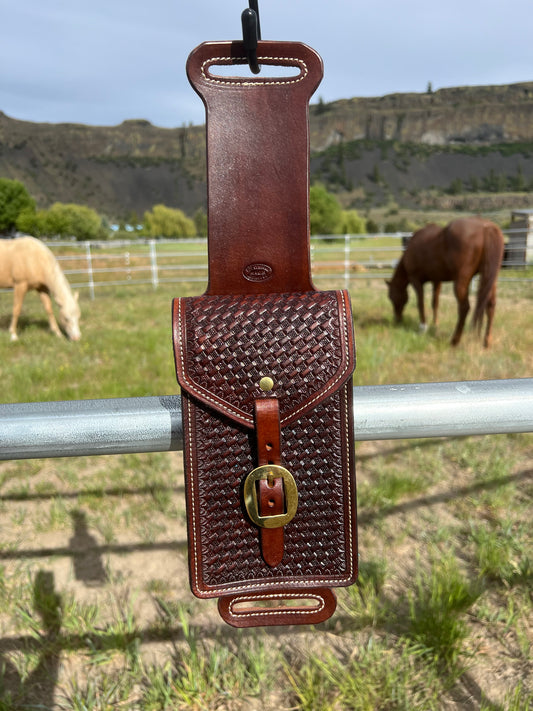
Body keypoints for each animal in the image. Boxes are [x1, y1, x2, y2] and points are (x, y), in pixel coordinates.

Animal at [386, 218, 502, 350]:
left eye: (391, 297)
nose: (397, 320)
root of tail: (486, 227)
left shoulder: (416, 280)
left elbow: (420, 303)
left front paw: (423, 327)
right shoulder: (437, 281)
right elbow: (435, 303)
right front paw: (435, 324)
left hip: (461, 282)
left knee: (464, 308)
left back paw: (455, 341)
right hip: (490, 279)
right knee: (490, 306)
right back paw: (486, 342)